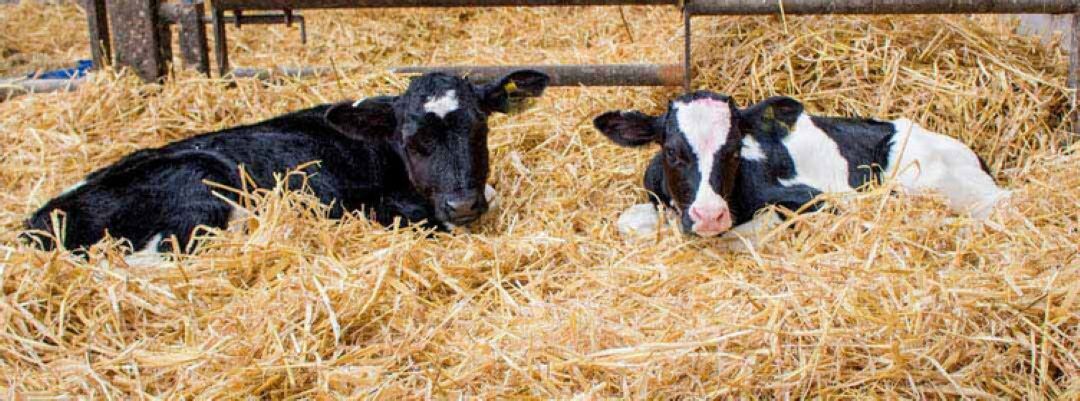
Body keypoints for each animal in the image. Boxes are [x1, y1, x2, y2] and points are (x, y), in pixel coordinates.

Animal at [593, 91, 1010, 239]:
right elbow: (629, 221)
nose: (710, 215)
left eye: (734, 150)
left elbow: (752, 230)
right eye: (672, 152)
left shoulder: (818, 199)